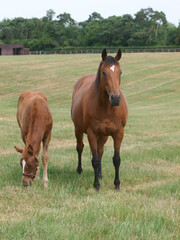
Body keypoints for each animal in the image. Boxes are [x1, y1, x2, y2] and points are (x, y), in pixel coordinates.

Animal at [71, 48, 129, 190]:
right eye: (104, 72)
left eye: (120, 72)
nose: (115, 98)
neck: (107, 108)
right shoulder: (91, 133)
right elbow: (95, 160)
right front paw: (96, 185)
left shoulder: (118, 133)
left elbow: (116, 159)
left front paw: (117, 184)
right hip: (78, 130)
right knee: (80, 147)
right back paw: (79, 170)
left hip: (103, 136)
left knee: (100, 151)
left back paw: (100, 174)